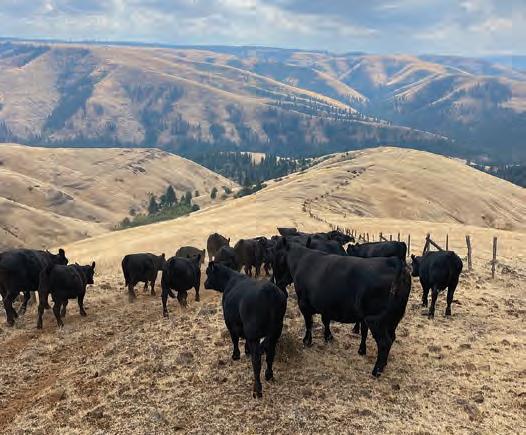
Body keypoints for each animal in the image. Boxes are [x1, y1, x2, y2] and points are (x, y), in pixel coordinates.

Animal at [204, 262, 287, 398]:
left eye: (208, 273)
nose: (205, 283)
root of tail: (270, 291)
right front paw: (246, 350)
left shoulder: (230, 322)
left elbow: (235, 339)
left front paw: (236, 355)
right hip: (275, 332)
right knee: (270, 355)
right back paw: (269, 375)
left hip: (255, 334)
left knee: (257, 361)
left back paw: (257, 390)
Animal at [273, 238, 411, 377]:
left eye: (277, 258)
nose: (278, 283)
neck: (301, 261)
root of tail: (393, 262)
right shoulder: (325, 305)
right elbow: (325, 321)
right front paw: (328, 337)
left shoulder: (303, 303)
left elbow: (309, 323)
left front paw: (307, 341)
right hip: (393, 318)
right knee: (392, 337)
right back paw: (381, 363)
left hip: (376, 319)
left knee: (384, 342)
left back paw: (376, 370)